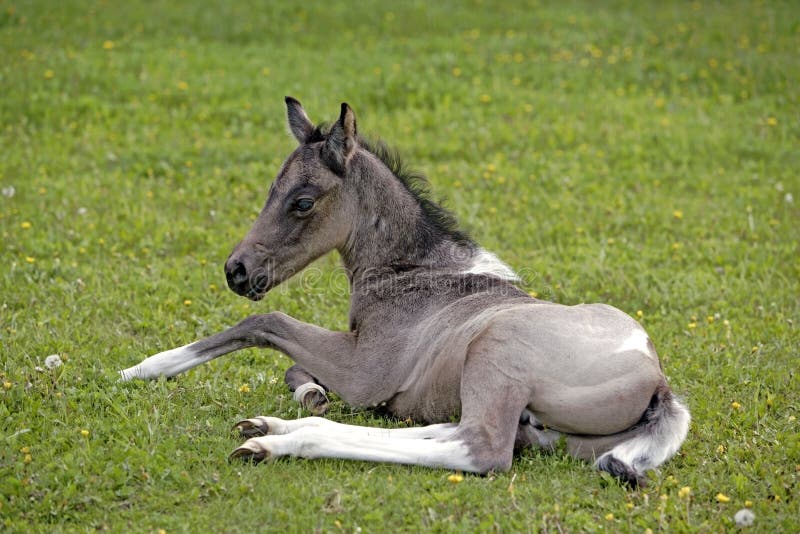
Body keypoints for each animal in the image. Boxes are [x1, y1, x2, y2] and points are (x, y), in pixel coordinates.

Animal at [122, 98, 692, 488]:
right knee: (448, 430)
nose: (237, 271)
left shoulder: (365, 371)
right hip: (535, 424)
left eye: (303, 202)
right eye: (270, 191)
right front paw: (309, 394)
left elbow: (265, 323)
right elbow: (292, 366)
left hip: (495, 355)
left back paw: (277, 441)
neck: (412, 271)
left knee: (478, 448)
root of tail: (658, 382)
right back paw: (271, 426)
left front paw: (139, 369)